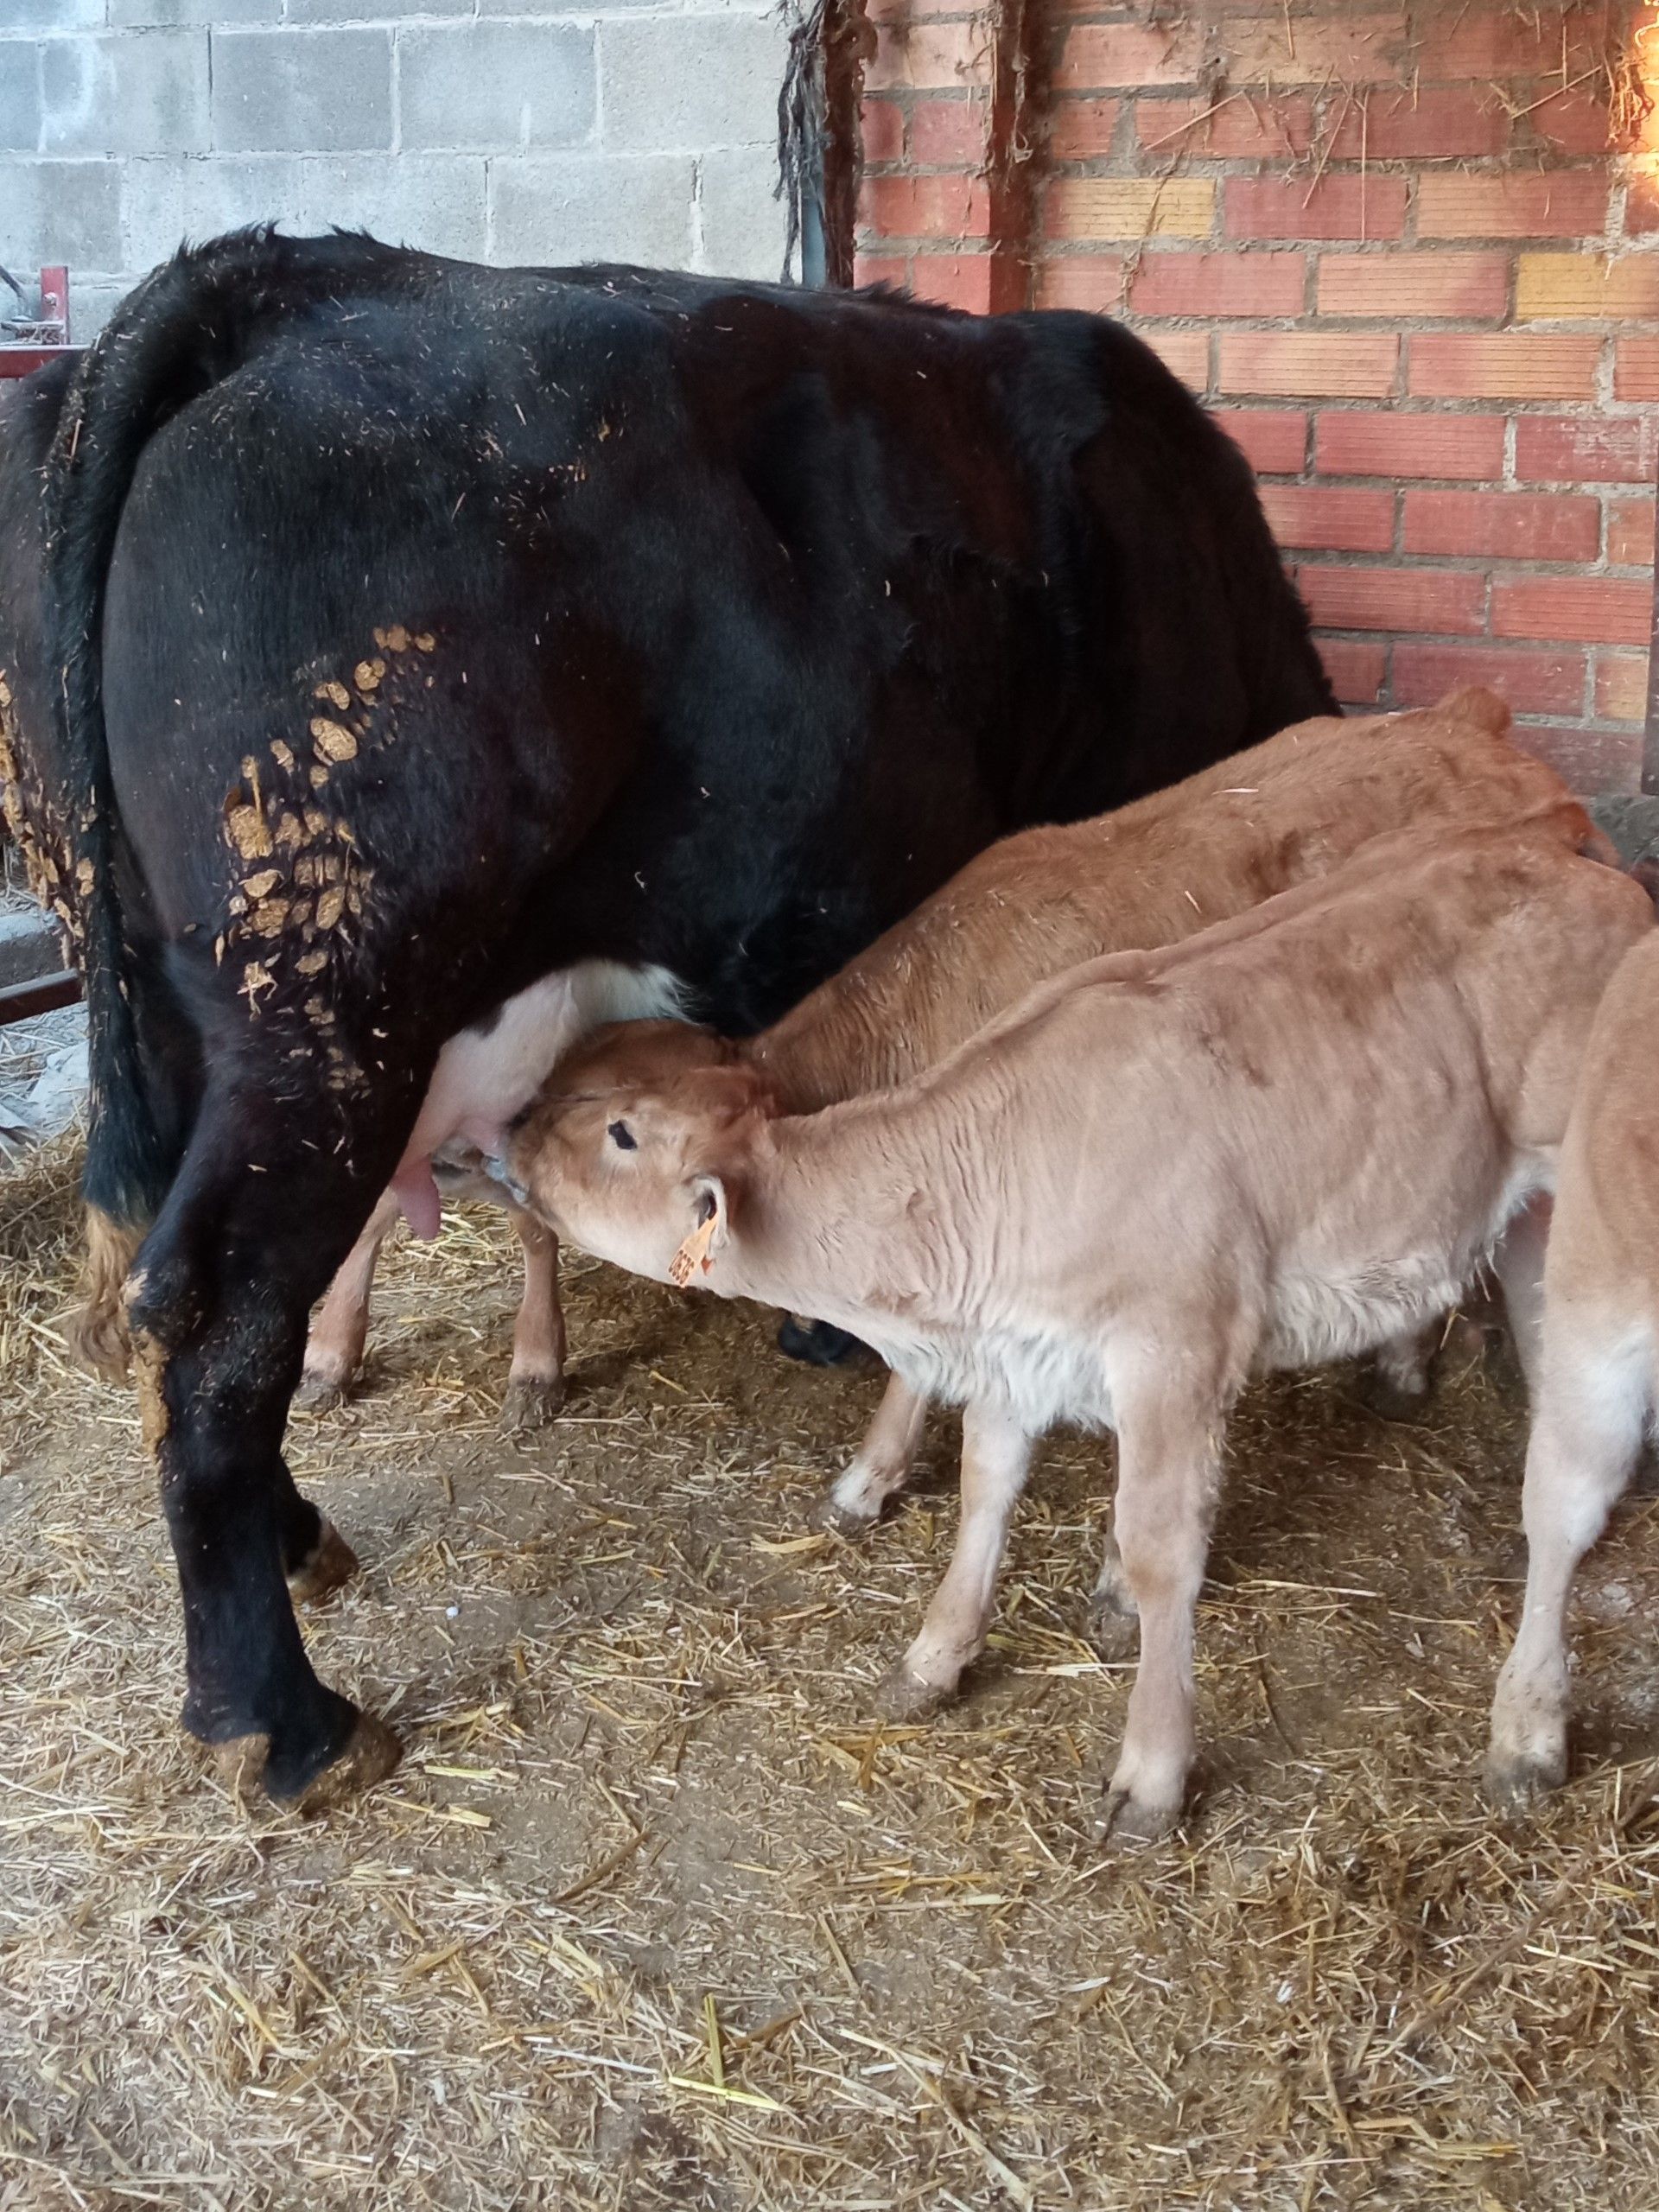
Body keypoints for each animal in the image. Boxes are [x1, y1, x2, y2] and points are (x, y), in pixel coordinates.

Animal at [0, 225, 1332, 1807]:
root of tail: (281, 283)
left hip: (168, 1010)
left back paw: (304, 1544)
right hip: (321, 1022)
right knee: (212, 1327)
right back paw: (286, 1721)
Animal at [500, 816, 1653, 1842]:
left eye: (621, 1132)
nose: (510, 1131)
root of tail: (1566, 851)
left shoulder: (1176, 1347)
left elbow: (1161, 1552)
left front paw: (1152, 1769)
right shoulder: (1018, 1355)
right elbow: (984, 1491)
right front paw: (935, 1655)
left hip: (1579, 1230)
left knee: (1564, 1492)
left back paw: (1526, 1729)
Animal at [522, 684, 1587, 1549]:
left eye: (622, 1130)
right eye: (561, 1082)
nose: (512, 1145)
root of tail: (1470, 721)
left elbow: (922, 1368)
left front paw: (871, 1474)